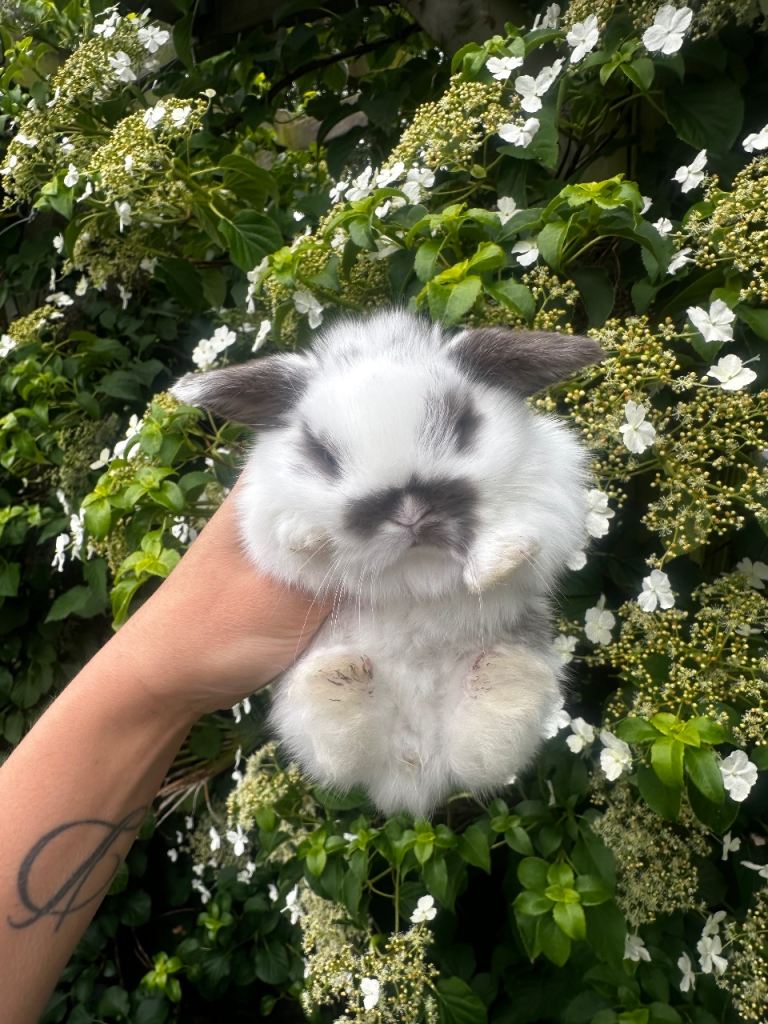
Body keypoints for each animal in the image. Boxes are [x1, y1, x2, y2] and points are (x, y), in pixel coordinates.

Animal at [171, 310, 603, 817]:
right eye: (320, 453)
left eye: (464, 424)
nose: (411, 511)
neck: (417, 571)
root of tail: (416, 774)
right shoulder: (258, 522)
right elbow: (288, 542)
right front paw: (307, 533)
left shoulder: (556, 488)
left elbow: (527, 529)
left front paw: (499, 559)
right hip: (311, 717)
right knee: (342, 750)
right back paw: (340, 677)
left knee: (485, 754)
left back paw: (501, 672)